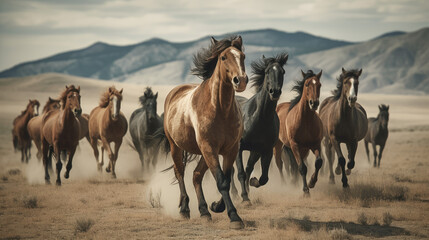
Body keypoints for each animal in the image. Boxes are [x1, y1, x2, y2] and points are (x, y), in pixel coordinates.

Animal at [160, 36, 247, 229]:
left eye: (243, 56)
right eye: (223, 57)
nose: (240, 80)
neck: (220, 110)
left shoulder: (230, 150)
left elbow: (226, 179)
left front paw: (216, 206)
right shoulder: (209, 148)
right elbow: (221, 181)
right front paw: (234, 216)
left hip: (203, 153)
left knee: (196, 175)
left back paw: (205, 211)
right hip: (176, 147)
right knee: (180, 173)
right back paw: (185, 209)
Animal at [231, 53, 288, 202]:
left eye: (282, 72)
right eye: (267, 71)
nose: (275, 92)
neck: (259, 118)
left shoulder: (265, 150)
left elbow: (263, 178)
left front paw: (252, 183)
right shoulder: (239, 148)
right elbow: (240, 172)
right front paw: (245, 198)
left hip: (254, 152)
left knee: (249, 168)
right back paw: (234, 193)